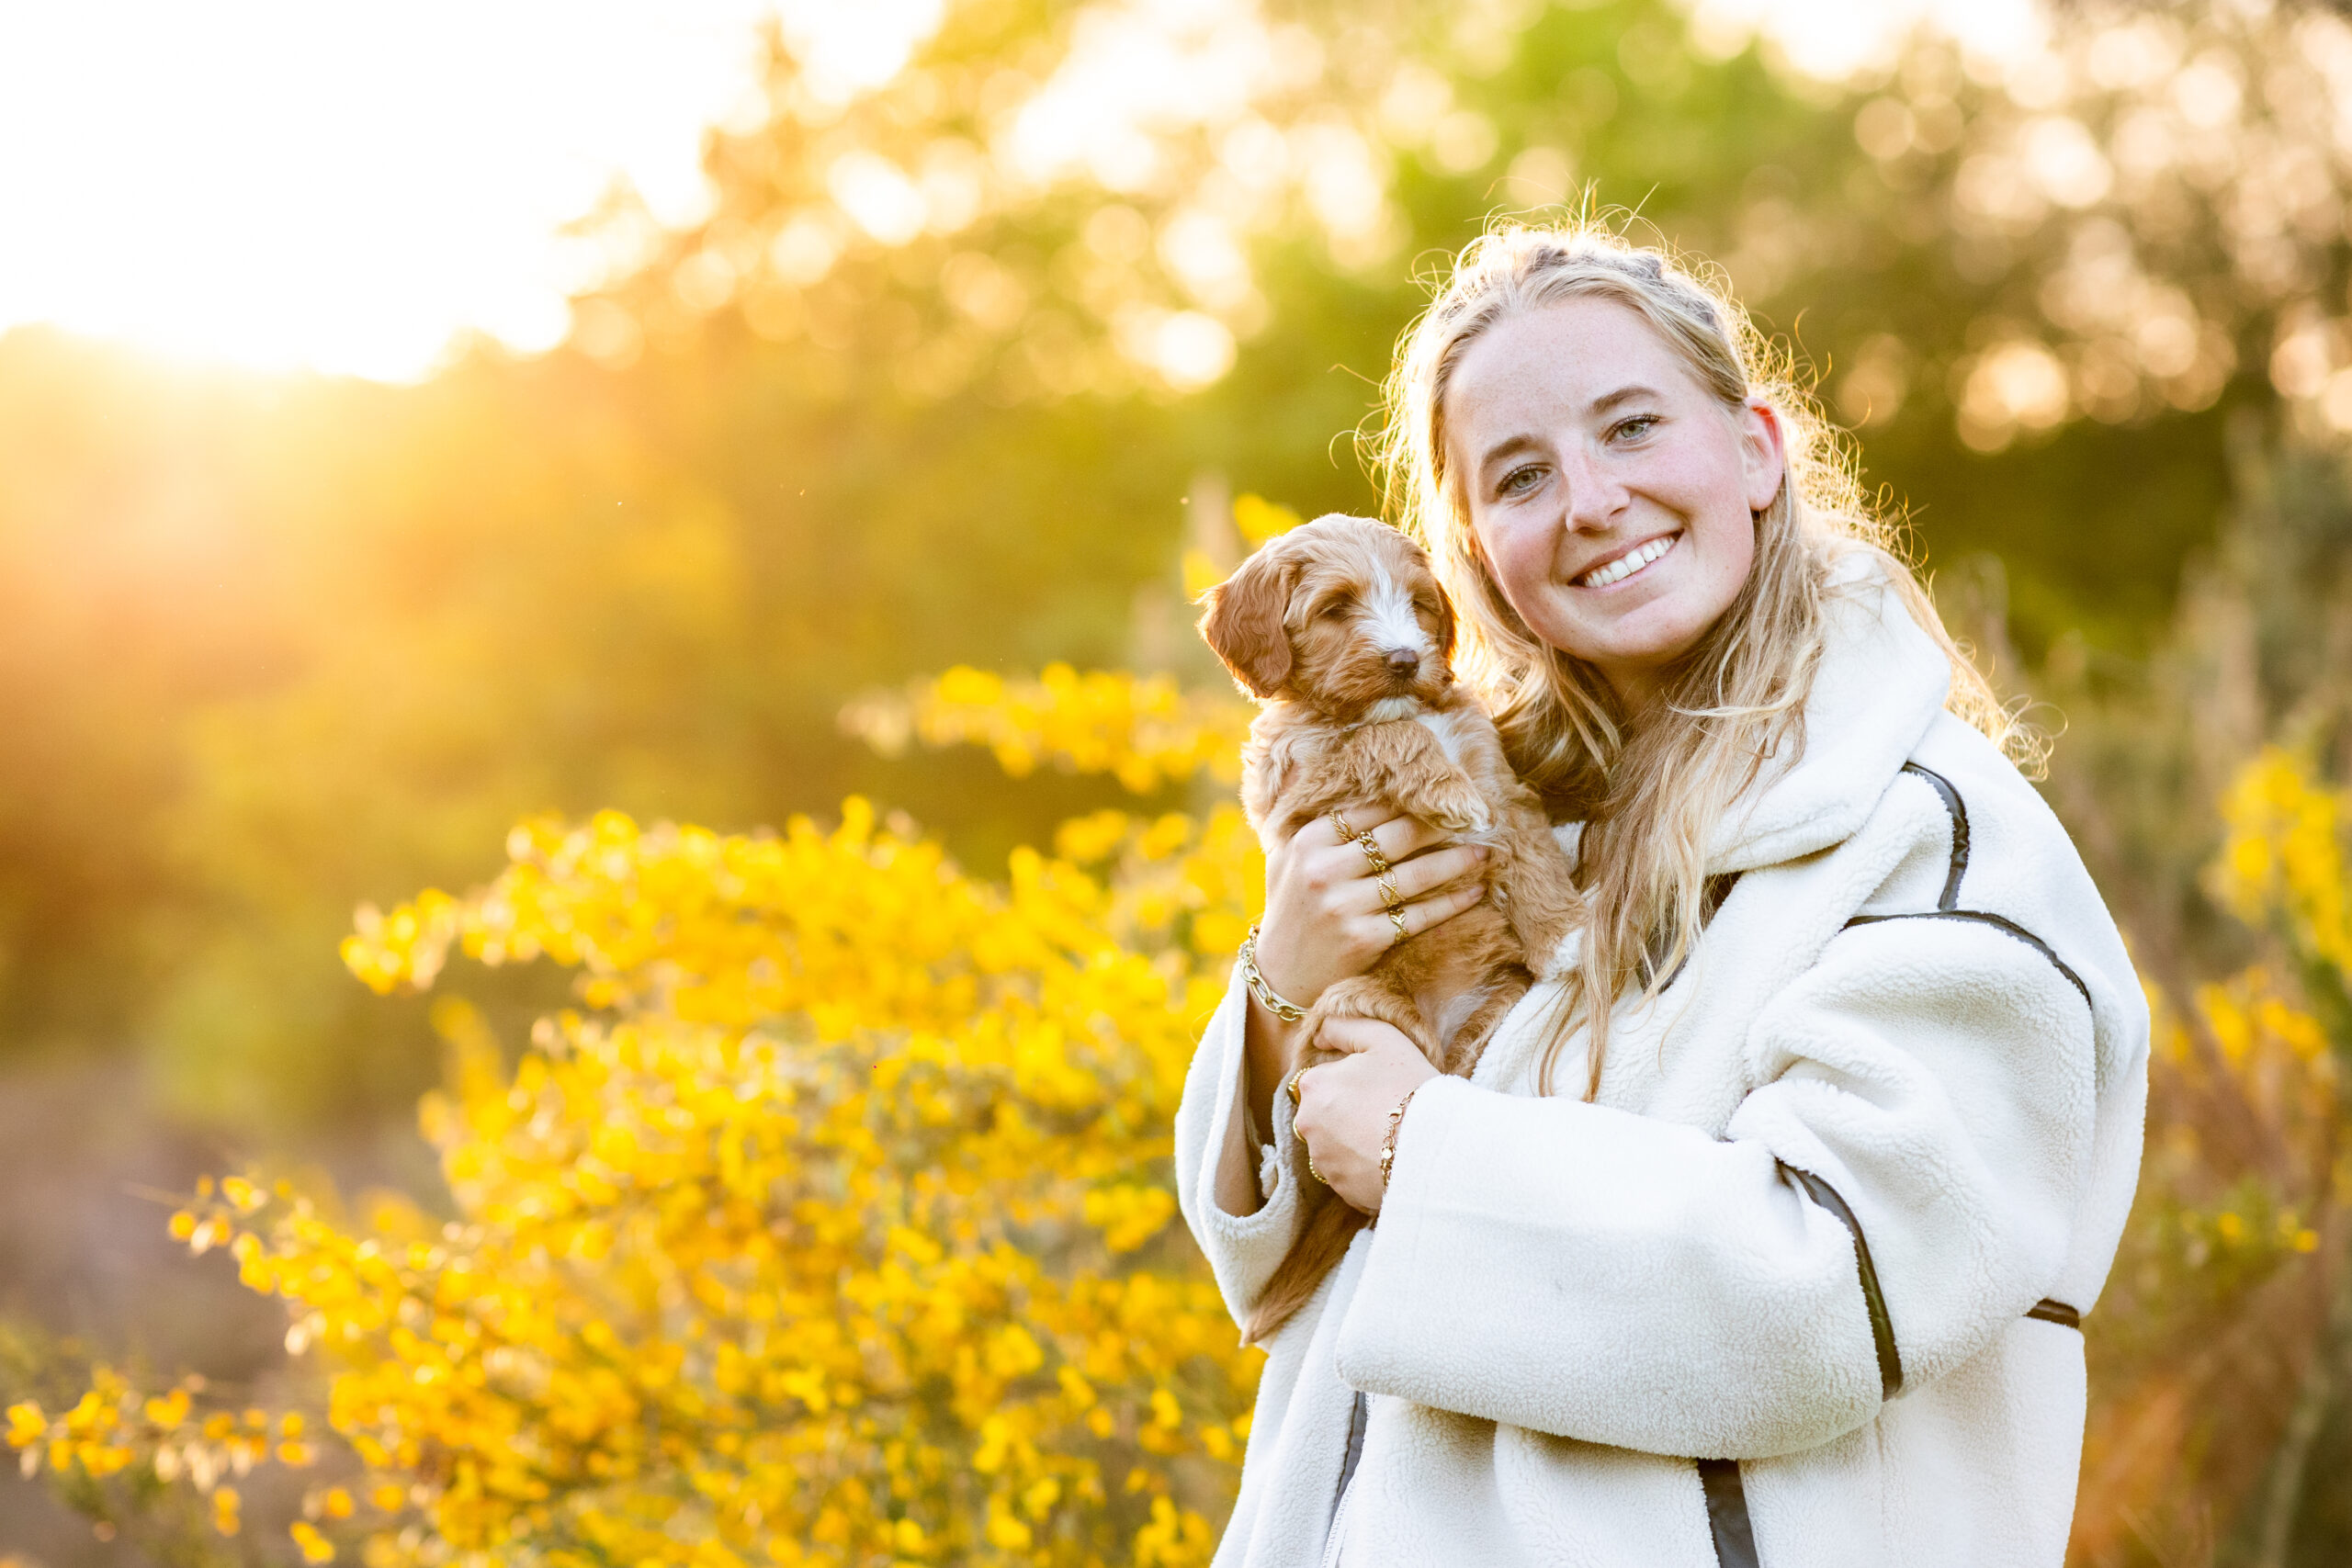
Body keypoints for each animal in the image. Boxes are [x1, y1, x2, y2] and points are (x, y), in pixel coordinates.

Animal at [1204, 517, 1571, 1354]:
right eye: (1337, 607)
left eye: (1419, 603)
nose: (1406, 658)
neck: (1391, 705)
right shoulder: (1304, 784)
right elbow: (1381, 745)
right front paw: (1440, 786)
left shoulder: (1498, 774)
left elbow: (1528, 849)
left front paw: (1565, 931)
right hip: (1353, 1013)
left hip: (1494, 1002)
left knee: (1455, 1068)